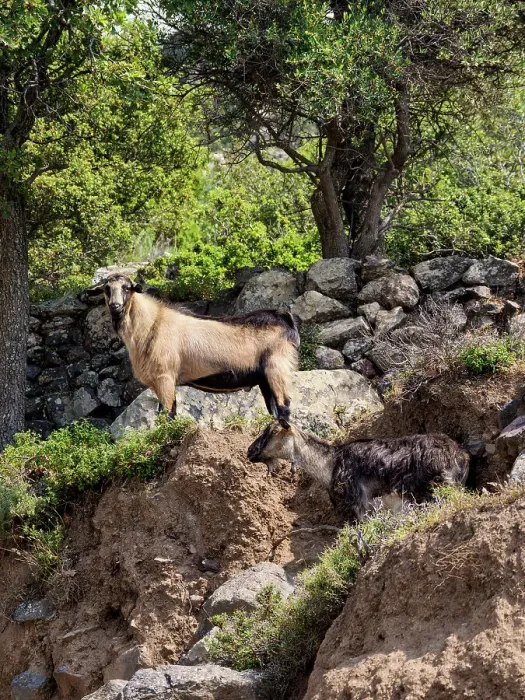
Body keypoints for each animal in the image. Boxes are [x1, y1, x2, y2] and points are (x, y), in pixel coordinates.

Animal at [87, 274, 299, 424]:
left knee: (284, 407)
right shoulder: (164, 381)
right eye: (106, 289)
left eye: (126, 288)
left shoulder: (164, 377)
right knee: (275, 410)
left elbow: (166, 415)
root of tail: (284, 318)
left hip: (277, 368)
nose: (115, 306)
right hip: (264, 379)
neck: (150, 325)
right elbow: (171, 413)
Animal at [247, 422, 469, 521]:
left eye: (273, 431)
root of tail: (460, 455)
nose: (250, 451)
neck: (330, 463)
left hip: (431, 491)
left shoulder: (360, 501)